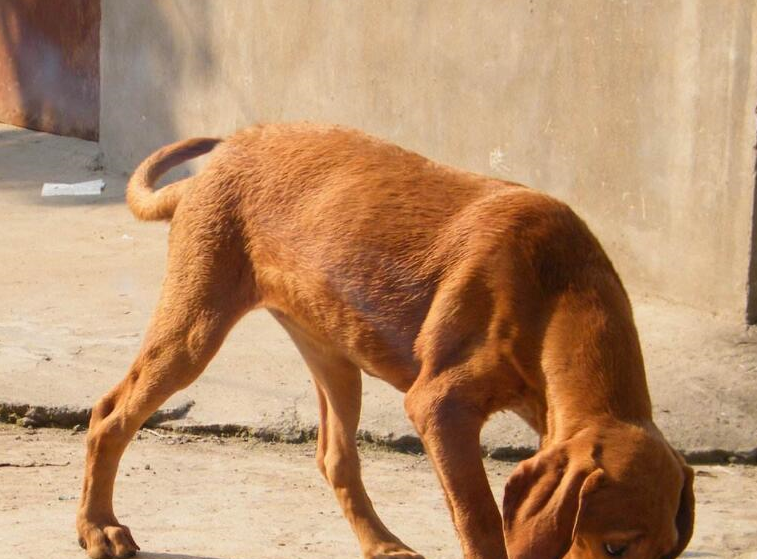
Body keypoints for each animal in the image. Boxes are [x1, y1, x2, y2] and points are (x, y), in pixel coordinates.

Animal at [75, 123, 692, 559]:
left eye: (668, 552)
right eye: (614, 546)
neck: (562, 286)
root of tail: (212, 165)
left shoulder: (547, 419)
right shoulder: (440, 406)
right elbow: (480, 519)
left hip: (333, 355)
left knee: (335, 458)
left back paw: (382, 545)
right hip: (195, 326)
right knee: (111, 414)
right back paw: (98, 527)